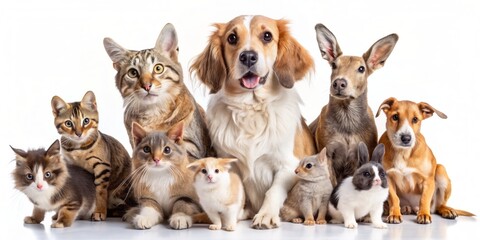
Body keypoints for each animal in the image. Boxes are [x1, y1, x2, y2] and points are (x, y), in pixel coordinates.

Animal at [50, 90, 132, 221]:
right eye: (68, 123)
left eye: (86, 121)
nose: (79, 134)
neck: (78, 149)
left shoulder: (102, 167)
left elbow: (100, 193)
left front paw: (99, 211)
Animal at [189, 15, 316, 229]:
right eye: (232, 38)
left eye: (267, 36)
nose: (248, 56)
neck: (251, 109)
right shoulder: (229, 164)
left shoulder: (288, 165)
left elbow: (273, 191)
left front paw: (266, 215)